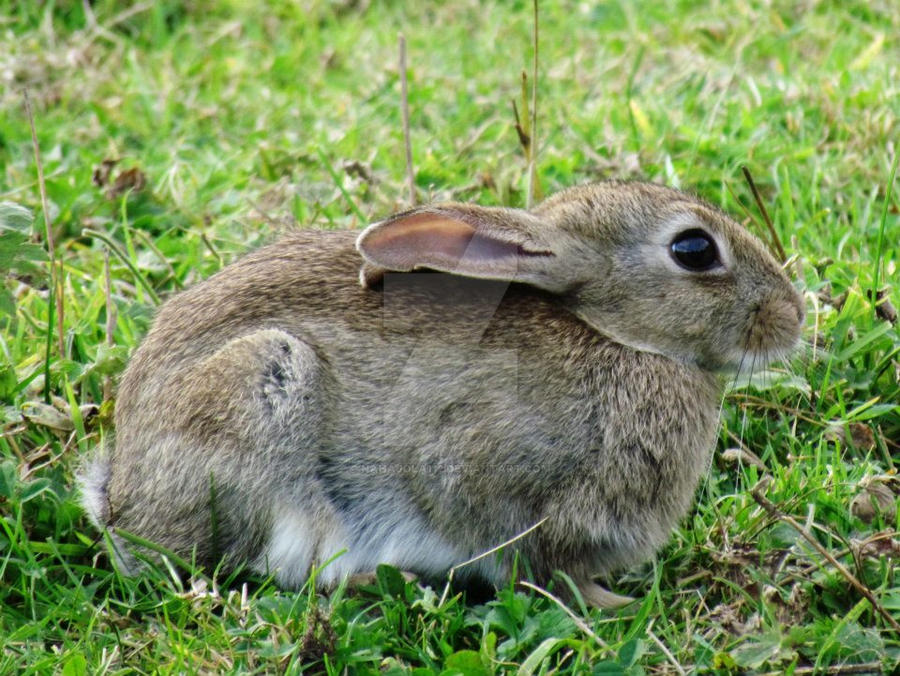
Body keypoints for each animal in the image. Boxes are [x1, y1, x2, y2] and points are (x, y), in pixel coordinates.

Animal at [80, 180, 804, 607]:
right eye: (694, 249)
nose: (794, 318)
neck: (609, 335)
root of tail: (119, 498)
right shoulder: (480, 473)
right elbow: (526, 557)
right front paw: (609, 605)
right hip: (263, 387)